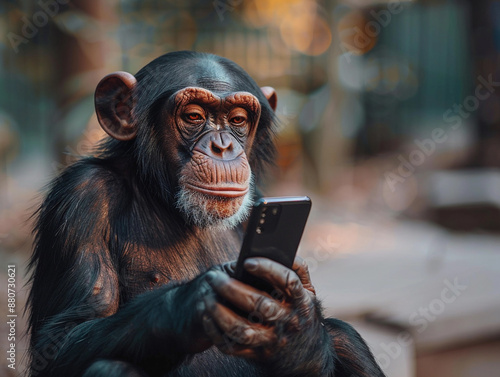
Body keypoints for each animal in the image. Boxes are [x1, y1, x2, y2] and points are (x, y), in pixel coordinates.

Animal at [28, 51, 386, 376]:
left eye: (238, 120)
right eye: (194, 116)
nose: (223, 146)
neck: (166, 199)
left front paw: (300, 334)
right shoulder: (81, 196)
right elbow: (61, 338)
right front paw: (191, 304)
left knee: (344, 336)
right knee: (110, 367)